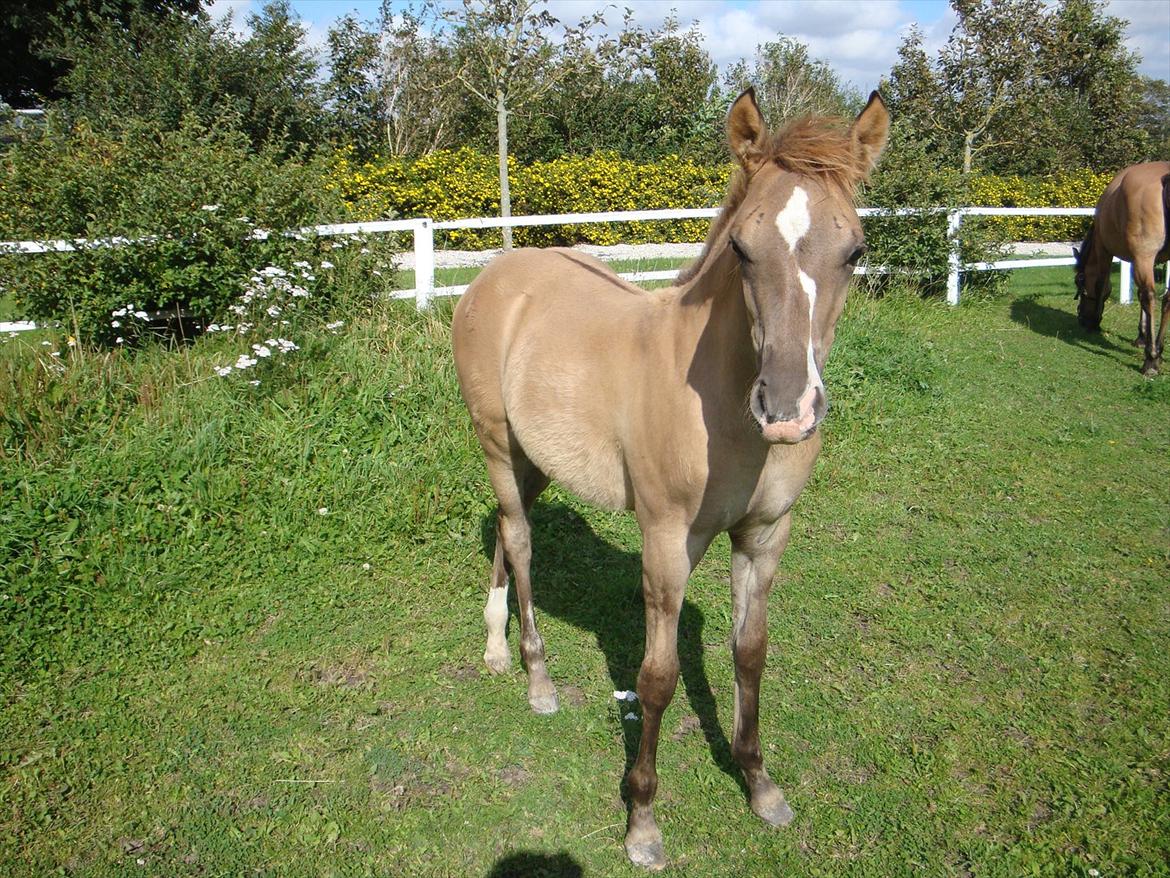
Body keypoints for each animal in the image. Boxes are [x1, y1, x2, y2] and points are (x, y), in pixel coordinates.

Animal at [451, 89, 889, 875]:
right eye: (742, 248)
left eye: (855, 251)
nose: (786, 408)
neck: (720, 402)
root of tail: (493, 276)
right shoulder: (665, 539)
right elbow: (656, 679)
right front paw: (642, 821)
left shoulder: (764, 537)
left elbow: (750, 653)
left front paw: (760, 784)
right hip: (498, 445)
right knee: (523, 542)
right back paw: (537, 679)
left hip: (536, 460)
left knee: (505, 528)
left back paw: (497, 647)